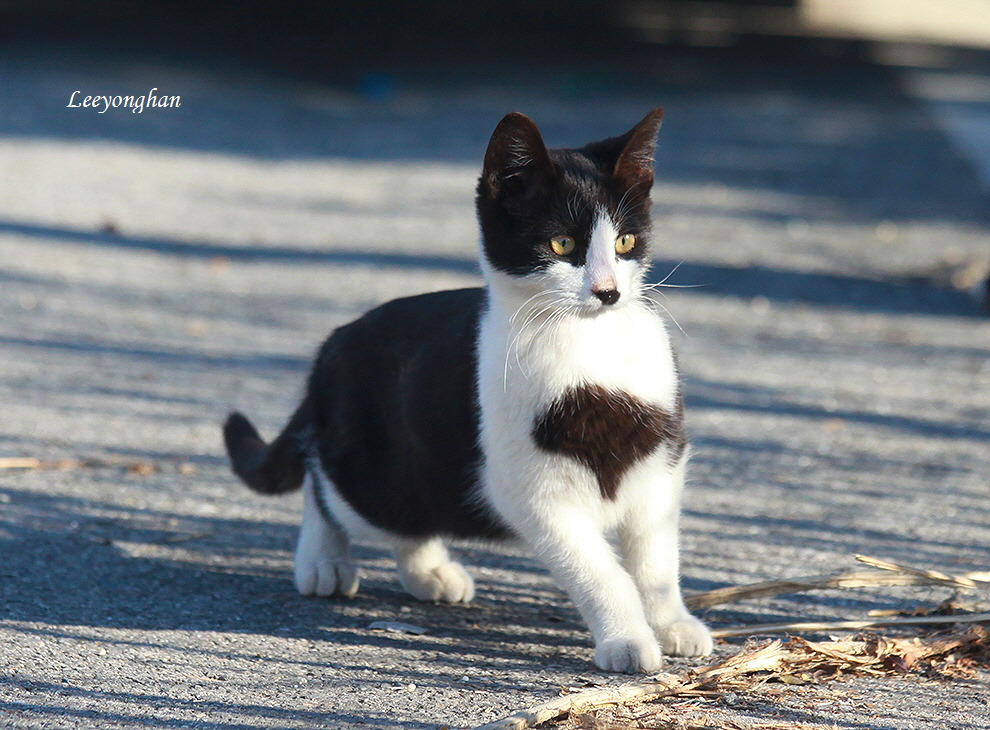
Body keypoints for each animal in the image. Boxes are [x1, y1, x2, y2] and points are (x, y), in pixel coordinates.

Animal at [224, 108, 712, 672]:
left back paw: (428, 571)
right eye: (562, 245)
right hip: (376, 471)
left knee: (408, 516)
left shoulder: (660, 465)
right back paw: (323, 560)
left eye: (625, 243)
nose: (607, 291)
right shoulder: (532, 493)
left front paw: (671, 622)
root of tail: (334, 341)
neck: (590, 352)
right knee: (323, 481)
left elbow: (656, 559)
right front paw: (628, 639)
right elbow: (598, 571)